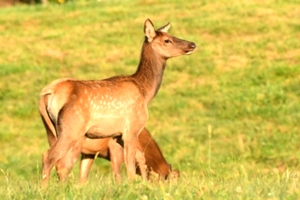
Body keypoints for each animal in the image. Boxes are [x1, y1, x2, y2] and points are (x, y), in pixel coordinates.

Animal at [38, 18, 196, 186]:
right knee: (51, 158)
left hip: (52, 129)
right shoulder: (132, 127)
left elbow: (136, 159)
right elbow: (130, 166)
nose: (192, 44)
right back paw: (44, 189)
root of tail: (48, 92)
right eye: (167, 40)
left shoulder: (117, 135)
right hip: (72, 127)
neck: (144, 92)